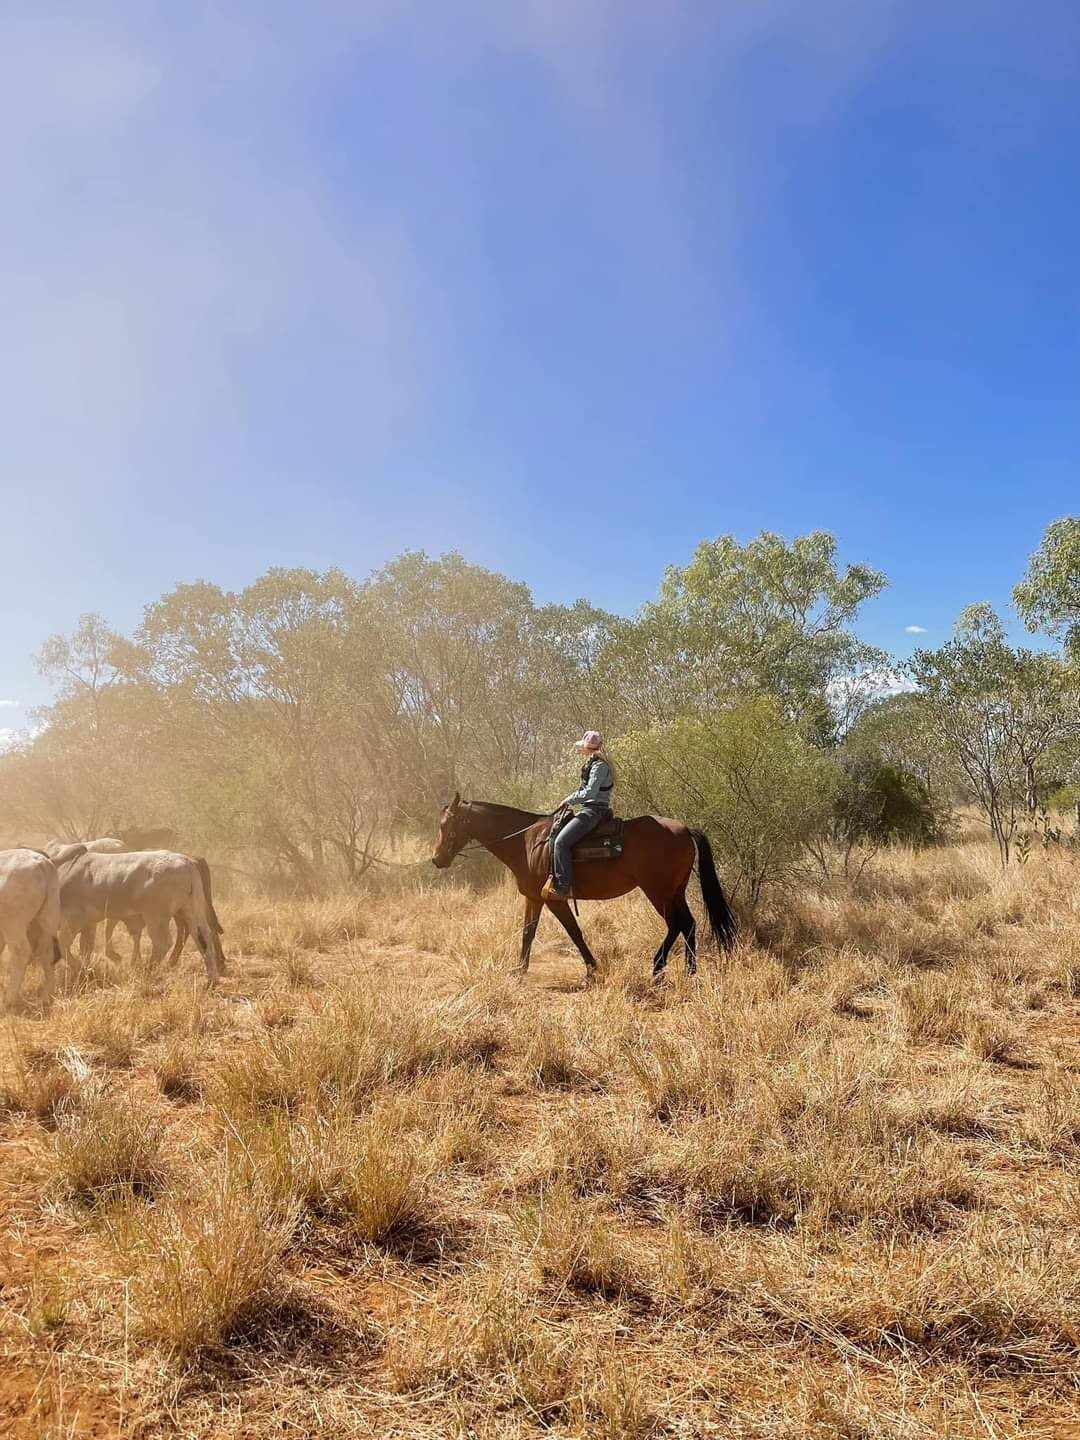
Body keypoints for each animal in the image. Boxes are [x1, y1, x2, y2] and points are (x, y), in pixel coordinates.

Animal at [0, 846, 69, 1008]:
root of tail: (41, 862)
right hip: (47, 919)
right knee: (47, 953)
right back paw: (46, 997)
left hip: (13, 923)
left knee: (21, 952)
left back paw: (9, 1000)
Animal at [432, 794, 737, 984]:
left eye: (446, 824)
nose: (437, 859)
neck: (527, 842)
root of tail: (684, 828)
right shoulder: (534, 898)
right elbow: (528, 933)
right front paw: (519, 970)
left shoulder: (554, 898)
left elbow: (574, 932)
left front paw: (592, 970)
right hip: (675, 892)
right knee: (689, 923)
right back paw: (688, 970)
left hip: (658, 892)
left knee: (677, 923)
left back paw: (659, 966)